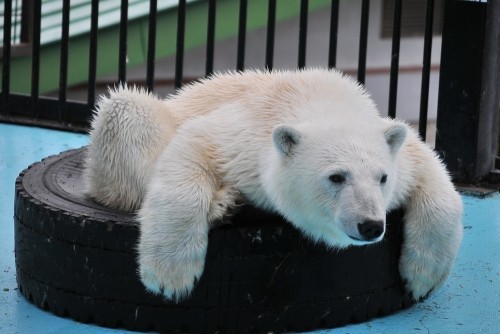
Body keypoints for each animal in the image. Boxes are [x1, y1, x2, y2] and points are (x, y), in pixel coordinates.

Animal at [84, 68, 462, 302]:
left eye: (382, 178)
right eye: (337, 177)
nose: (370, 225)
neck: (320, 99)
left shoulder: (398, 155)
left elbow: (433, 173)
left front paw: (422, 276)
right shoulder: (244, 138)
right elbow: (193, 143)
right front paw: (170, 276)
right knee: (126, 109)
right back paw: (223, 202)